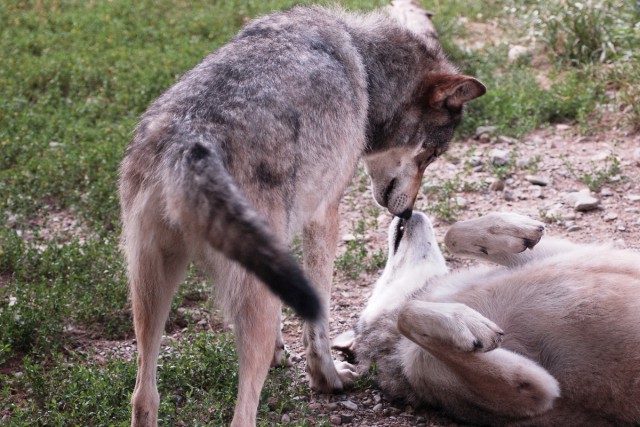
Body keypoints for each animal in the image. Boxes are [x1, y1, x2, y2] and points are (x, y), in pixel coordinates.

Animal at [117, 1, 484, 426]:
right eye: (431, 155)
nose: (408, 212)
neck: (363, 65)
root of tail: (189, 143)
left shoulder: (279, 241)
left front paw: (284, 353)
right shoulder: (326, 218)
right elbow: (319, 321)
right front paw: (327, 378)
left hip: (149, 290)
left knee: (143, 396)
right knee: (241, 413)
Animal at [332, 212, 640, 426]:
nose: (402, 214)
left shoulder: (571, 253)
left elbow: (452, 234)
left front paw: (514, 229)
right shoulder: (535, 389)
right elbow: (407, 315)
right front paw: (465, 323)